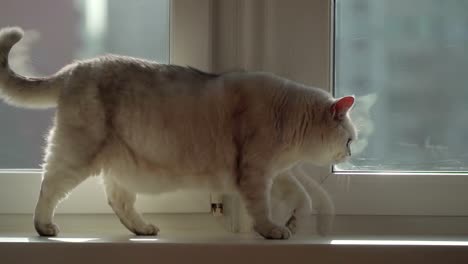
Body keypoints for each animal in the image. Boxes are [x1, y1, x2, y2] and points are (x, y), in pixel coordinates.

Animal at [0, 27, 354, 240]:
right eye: (350, 139)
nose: (350, 153)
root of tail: (74, 68)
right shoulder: (256, 173)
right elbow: (262, 210)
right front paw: (273, 230)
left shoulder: (277, 174)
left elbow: (304, 200)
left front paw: (293, 224)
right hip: (78, 154)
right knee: (49, 187)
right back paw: (44, 228)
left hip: (120, 162)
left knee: (118, 200)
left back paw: (144, 229)